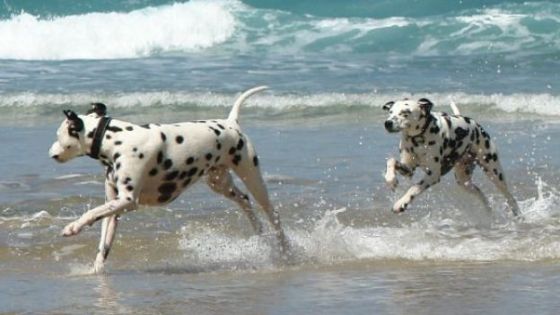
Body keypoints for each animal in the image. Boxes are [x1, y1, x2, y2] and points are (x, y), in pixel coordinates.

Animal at [48, 86, 288, 274]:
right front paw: (96, 269)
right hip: (220, 183)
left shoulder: (127, 201)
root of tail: (231, 123)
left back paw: (285, 248)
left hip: (252, 178)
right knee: (245, 201)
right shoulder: (114, 207)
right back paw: (258, 230)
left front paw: (72, 227)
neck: (117, 140)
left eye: (59, 135)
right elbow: (103, 244)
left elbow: (91, 213)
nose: (50, 154)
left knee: (273, 214)